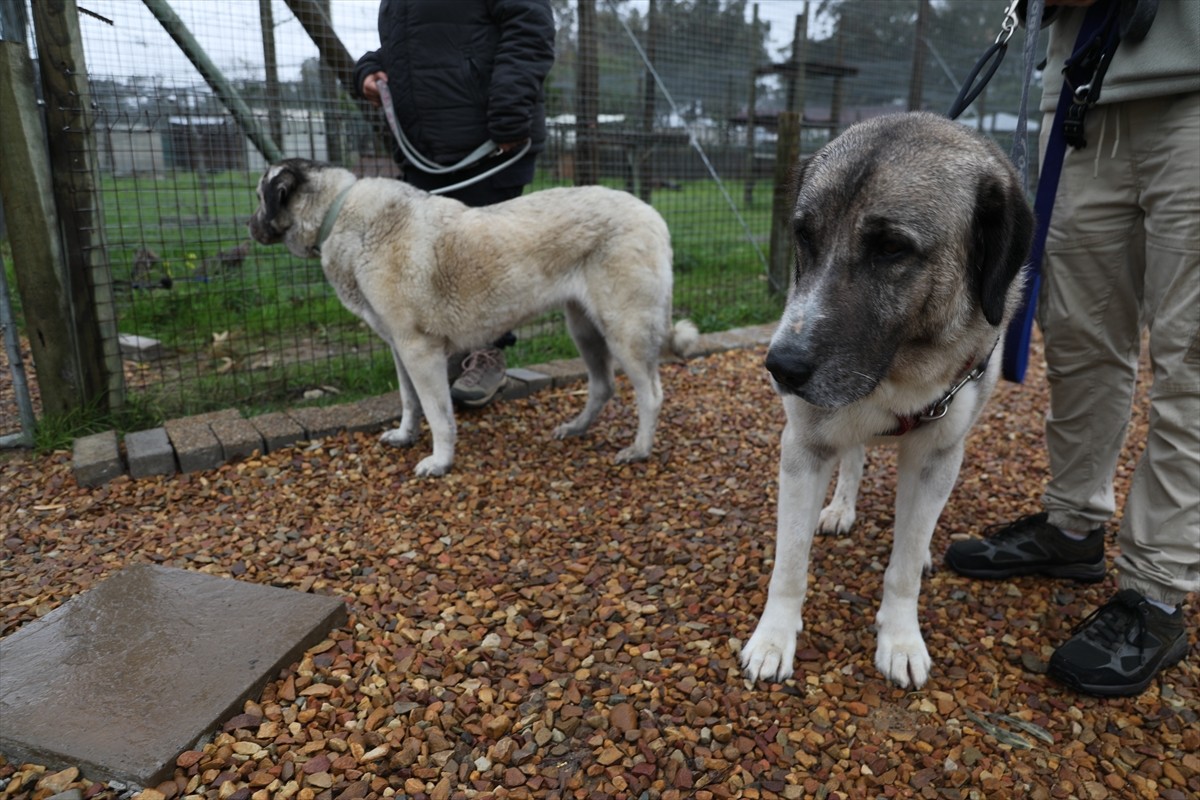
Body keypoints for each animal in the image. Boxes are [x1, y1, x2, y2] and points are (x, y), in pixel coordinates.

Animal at [249, 159, 700, 479]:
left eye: (259, 196)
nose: (248, 225)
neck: (339, 214)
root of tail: (652, 214)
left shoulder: (420, 352)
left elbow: (438, 414)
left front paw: (439, 462)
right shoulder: (399, 349)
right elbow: (409, 401)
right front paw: (405, 435)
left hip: (623, 330)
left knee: (651, 395)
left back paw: (639, 450)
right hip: (584, 328)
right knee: (603, 386)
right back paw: (575, 428)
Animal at [734, 112, 1036, 690]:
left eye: (892, 248)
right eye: (804, 235)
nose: (781, 368)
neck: (899, 372)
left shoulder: (938, 454)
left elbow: (904, 565)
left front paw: (900, 640)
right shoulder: (803, 446)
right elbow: (790, 563)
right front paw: (772, 641)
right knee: (853, 457)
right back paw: (840, 507)